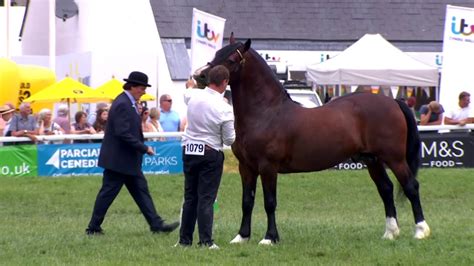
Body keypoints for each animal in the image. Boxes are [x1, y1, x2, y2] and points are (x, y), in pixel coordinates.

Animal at [192, 35, 430, 245]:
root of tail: (394, 102)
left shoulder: (268, 167)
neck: (266, 113)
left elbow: (270, 202)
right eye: (216, 54)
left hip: (394, 158)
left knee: (411, 186)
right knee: (386, 189)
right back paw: (390, 233)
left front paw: (270, 238)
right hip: (372, 160)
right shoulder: (246, 167)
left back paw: (421, 231)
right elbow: (247, 202)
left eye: (231, 60)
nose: (200, 76)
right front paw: (241, 237)